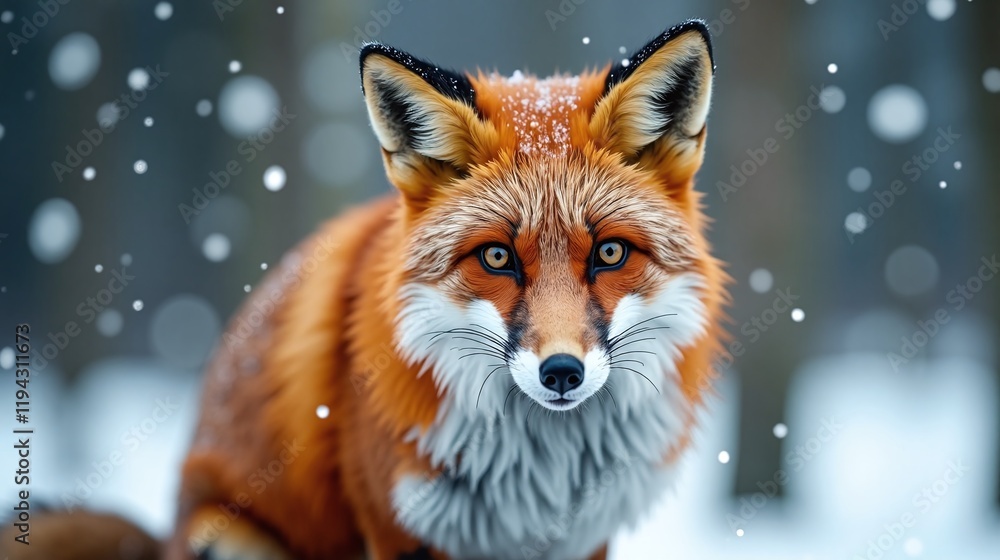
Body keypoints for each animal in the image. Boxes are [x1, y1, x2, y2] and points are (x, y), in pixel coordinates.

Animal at [4, 18, 727, 560]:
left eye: (609, 253)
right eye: (497, 257)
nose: (561, 373)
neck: (536, 480)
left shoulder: (582, 539)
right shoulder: (397, 527)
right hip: (225, 537)